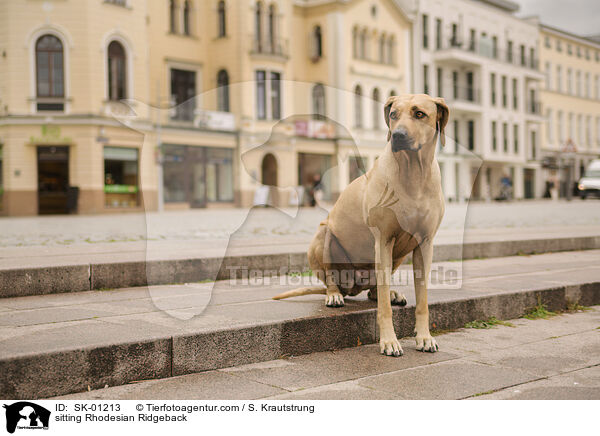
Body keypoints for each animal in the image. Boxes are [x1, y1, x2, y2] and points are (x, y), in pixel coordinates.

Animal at [274, 93, 448, 356]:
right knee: (334, 280)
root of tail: (352, 286)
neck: (413, 173)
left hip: (397, 255)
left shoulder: (425, 244)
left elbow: (423, 299)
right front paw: (389, 341)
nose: (397, 135)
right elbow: (384, 308)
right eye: (393, 114)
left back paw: (392, 294)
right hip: (324, 236)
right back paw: (334, 295)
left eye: (419, 114)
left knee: (377, 290)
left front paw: (425, 337)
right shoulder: (383, 240)